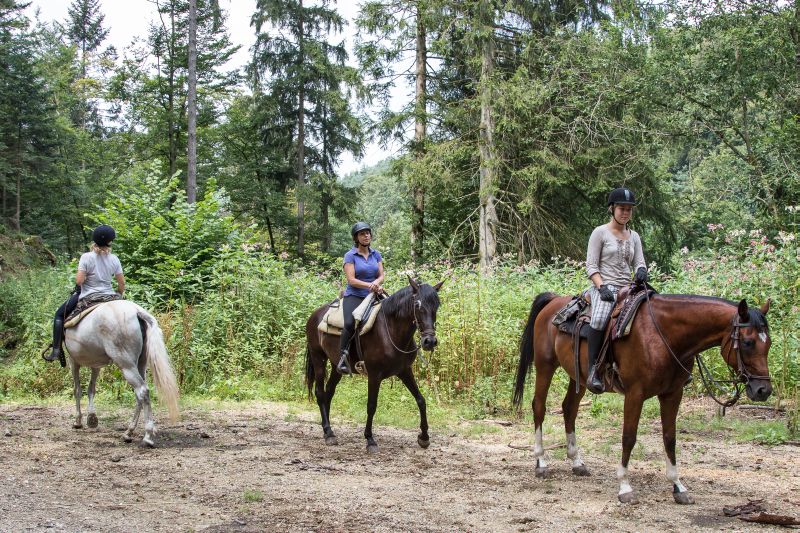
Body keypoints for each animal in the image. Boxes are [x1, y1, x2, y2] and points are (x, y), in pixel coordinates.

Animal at [64, 300, 180, 444]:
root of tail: (137, 311)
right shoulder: (96, 365)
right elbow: (91, 389)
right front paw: (91, 418)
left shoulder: (73, 361)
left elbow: (77, 390)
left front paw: (78, 421)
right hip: (140, 365)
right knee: (140, 395)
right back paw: (128, 433)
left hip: (127, 366)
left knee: (142, 391)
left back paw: (147, 436)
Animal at [304, 276, 444, 450]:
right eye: (417, 304)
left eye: (437, 305)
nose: (429, 341)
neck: (391, 330)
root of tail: (314, 315)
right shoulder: (374, 375)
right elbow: (371, 405)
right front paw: (370, 439)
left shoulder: (405, 371)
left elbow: (421, 400)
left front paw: (424, 437)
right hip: (318, 359)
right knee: (320, 392)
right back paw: (328, 432)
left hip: (337, 366)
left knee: (329, 392)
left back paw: (327, 430)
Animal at [512, 290, 768, 502]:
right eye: (748, 342)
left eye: (769, 343)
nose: (763, 390)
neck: (663, 336)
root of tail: (554, 300)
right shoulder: (635, 394)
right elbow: (628, 438)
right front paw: (625, 487)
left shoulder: (672, 394)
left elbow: (670, 438)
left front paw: (678, 486)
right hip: (545, 365)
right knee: (539, 407)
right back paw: (541, 462)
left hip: (579, 377)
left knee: (569, 409)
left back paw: (576, 462)